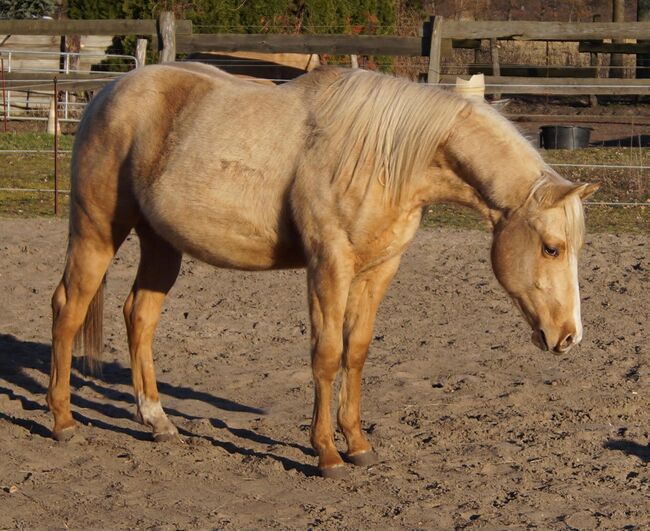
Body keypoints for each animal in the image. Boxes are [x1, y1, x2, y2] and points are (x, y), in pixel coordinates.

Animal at [49, 62, 596, 478]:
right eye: (551, 248)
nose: (569, 336)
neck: (386, 156)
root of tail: (107, 94)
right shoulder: (328, 266)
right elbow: (327, 355)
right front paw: (327, 453)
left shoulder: (378, 270)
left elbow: (356, 353)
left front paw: (358, 444)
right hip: (97, 232)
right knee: (68, 308)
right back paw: (62, 421)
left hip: (162, 245)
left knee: (139, 316)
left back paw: (158, 421)